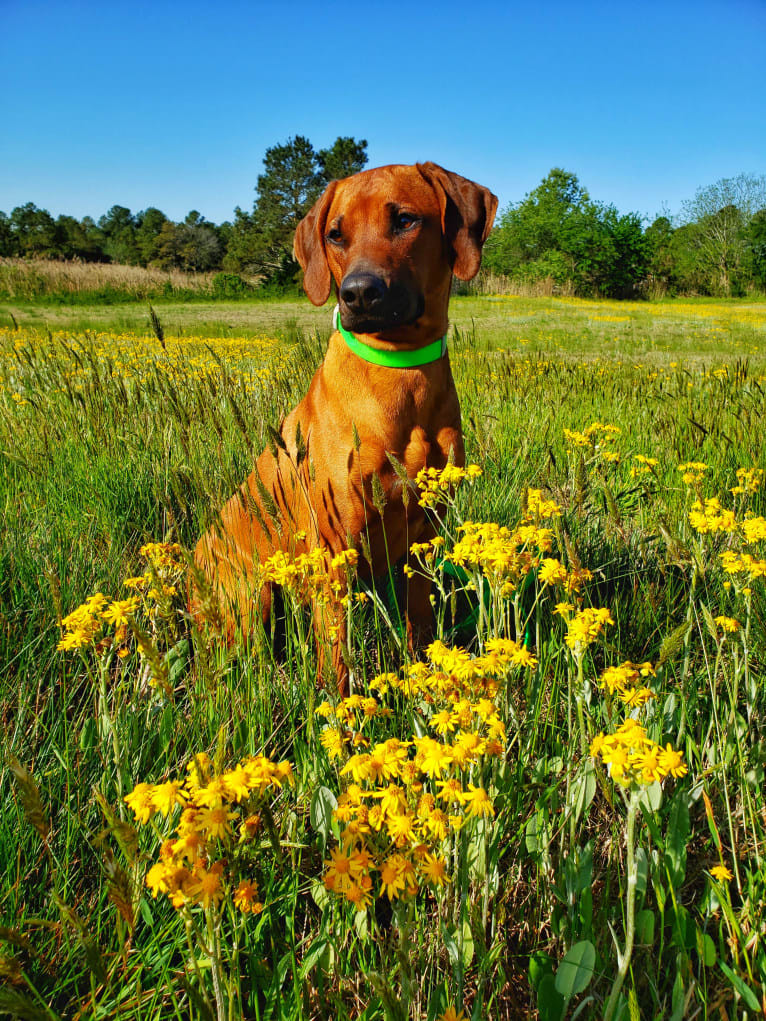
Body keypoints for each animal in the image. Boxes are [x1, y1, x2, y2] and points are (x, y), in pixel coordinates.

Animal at [193, 163, 498, 694]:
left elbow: (420, 624)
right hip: (249, 598)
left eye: (405, 220)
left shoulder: (424, 536)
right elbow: (336, 656)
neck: (399, 371)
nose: (357, 293)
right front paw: (341, 712)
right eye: (335, 234)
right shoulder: (334, 548)